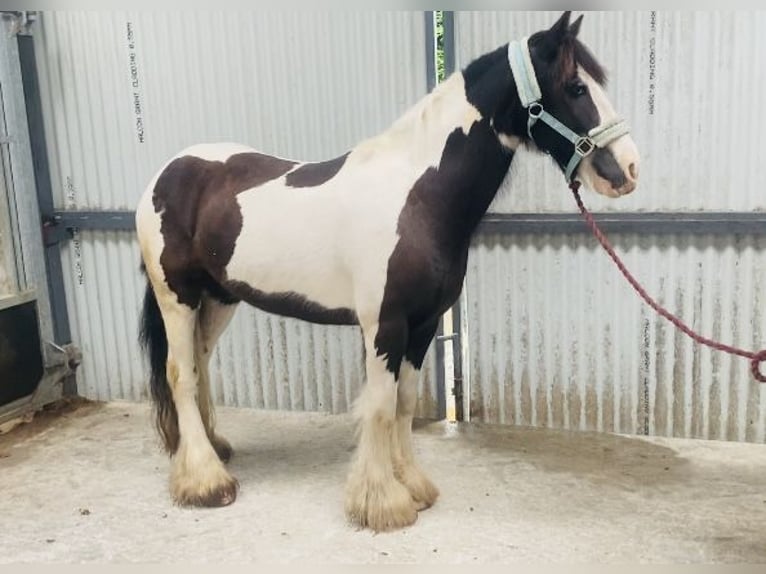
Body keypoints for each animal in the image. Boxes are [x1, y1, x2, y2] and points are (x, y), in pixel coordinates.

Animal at [138, 12, 640, 536]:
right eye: (576, 87)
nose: (628, 169)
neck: (416, 195)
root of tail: (166, 173)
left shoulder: (423, 325)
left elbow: (405, 402)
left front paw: (413, 485)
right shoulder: (385, 324)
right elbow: (379, 405)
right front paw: (381, 503)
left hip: (219, 298)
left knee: (200, 362)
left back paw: (214, 450)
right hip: (177, 297)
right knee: (180, 374)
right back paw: (206, 481)